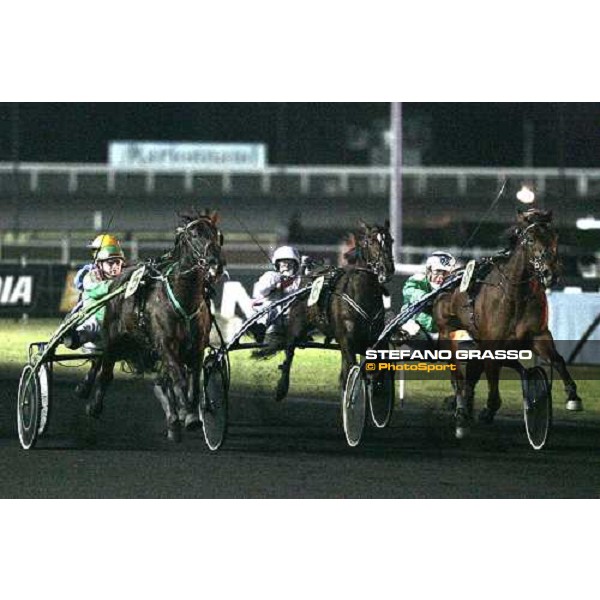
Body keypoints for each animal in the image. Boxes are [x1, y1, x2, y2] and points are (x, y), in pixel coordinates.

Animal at [75, 211, 225, 440]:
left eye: (218, 235)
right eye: (194, 234)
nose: (216, 265)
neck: (183, 299)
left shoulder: (197, 347)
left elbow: (193, 383)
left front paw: (189, 413)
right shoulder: (165, 345)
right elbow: (179, 378)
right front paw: (188, 415)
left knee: (159, 380)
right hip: (114, 338)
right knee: (104, 367)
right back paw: (93, 403)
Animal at [255, 221, 396, 404]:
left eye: (391, 241)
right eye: (371, 242)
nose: (387, 269)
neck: (362, 296)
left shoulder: (375, 339)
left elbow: (378, 365)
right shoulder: (347, 340)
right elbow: (351, 371)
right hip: (297, 325)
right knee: (289, 351)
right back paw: (281, 388)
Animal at [434, 209, 584, 438]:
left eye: (555, 236)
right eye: (530, 239)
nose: (550, 273)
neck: (515, 295)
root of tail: (449, 280)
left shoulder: (539, 335)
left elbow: (557, 360)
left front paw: (572, 396)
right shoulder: (492, 345)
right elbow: (492, 381)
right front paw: (487, 410)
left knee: (472, 373)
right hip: (446, 333)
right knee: (458, 376)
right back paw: (461, 411)